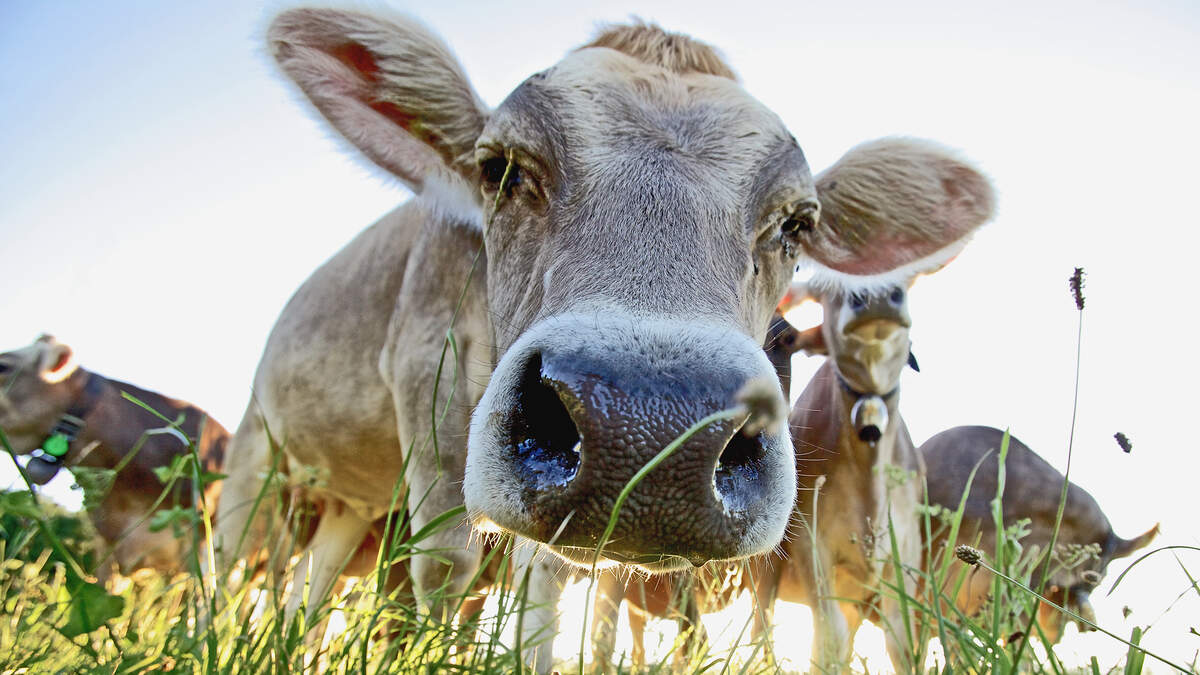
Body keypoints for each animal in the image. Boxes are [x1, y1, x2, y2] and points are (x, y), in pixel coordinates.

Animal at [213, 7, 996, 670]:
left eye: (796, 225)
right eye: (500, 169)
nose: (653, 430)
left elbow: (544, 598)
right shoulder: (424, 371)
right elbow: (446, 564)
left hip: (348, 501)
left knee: (307, 587)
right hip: (258, 443)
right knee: (233, 561)